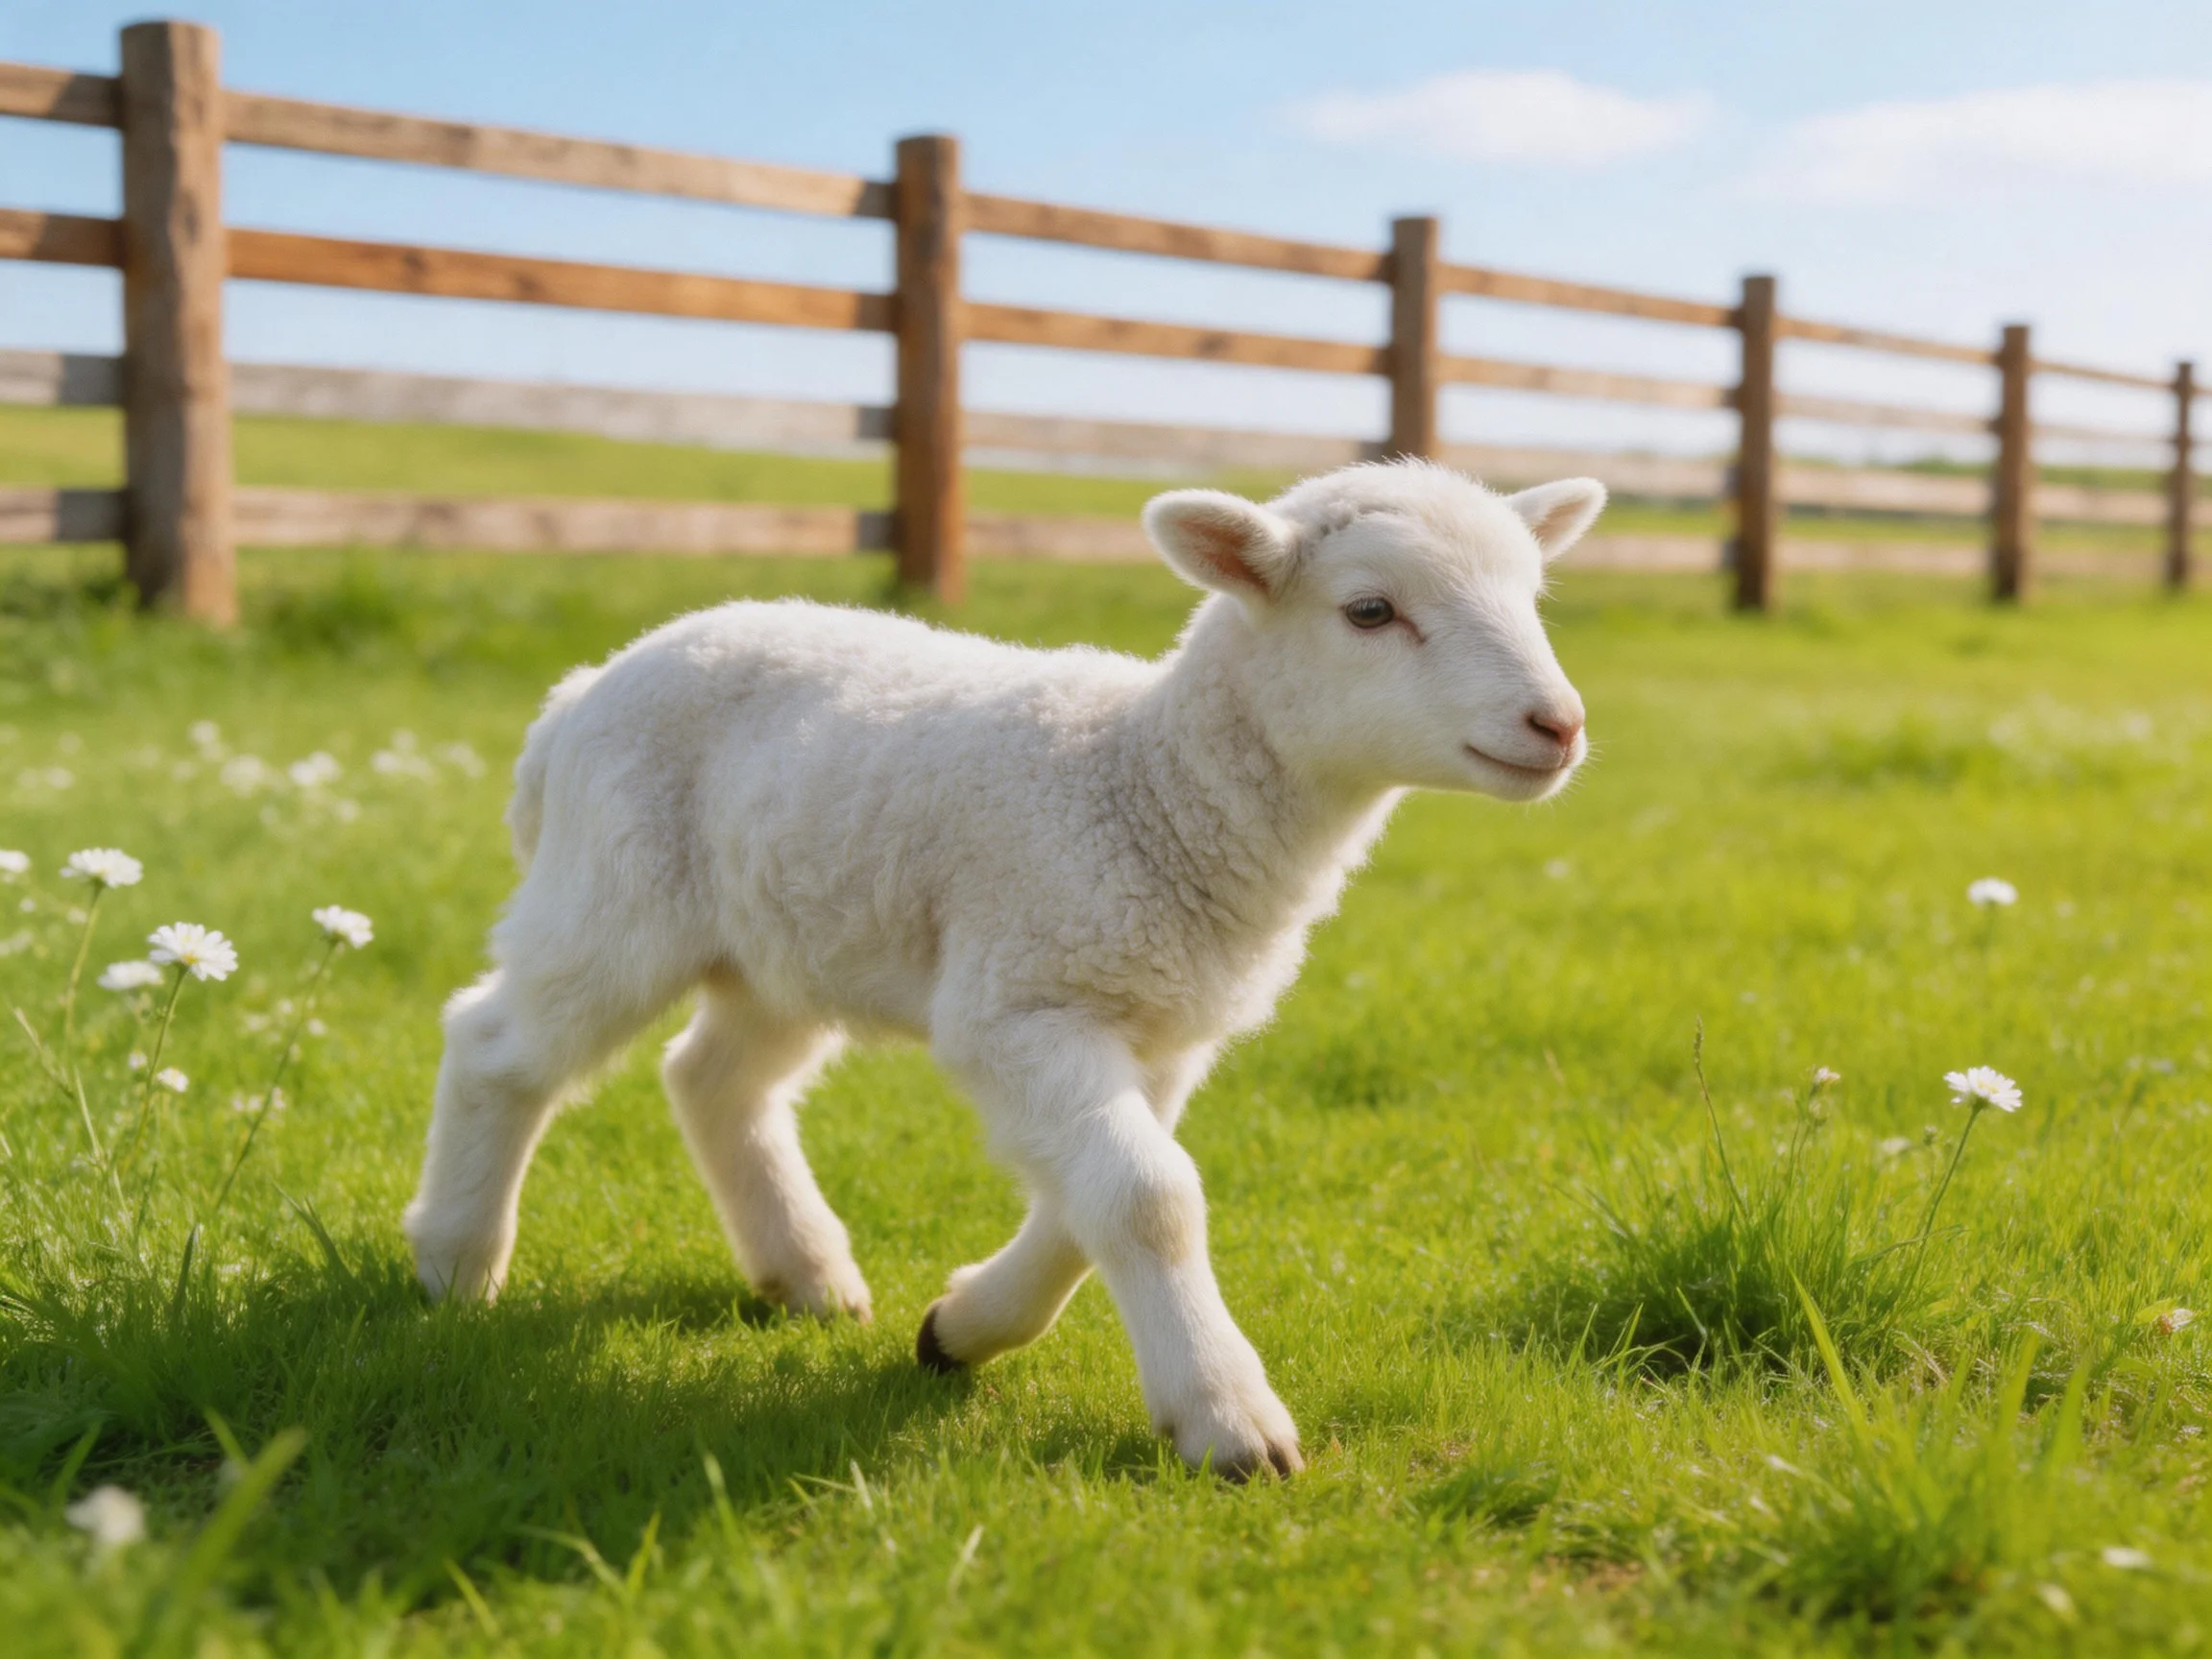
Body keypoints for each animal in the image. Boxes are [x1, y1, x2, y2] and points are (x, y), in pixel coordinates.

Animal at [404, 458, 1601, 1478]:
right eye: (1369, 611)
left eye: (1533, 595)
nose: (1559, 724)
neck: (1148, 786)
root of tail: (576, 697)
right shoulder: (1021, 999)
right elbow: (1153, 1196)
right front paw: (1229, 1420)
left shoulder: (1153, 1021)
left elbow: (1097, 1199)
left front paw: (962, 1328)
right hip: (616, 893)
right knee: (498, 1046)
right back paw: (455, 1264)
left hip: (788, 939)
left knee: (713, 1080)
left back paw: (807, 1274)